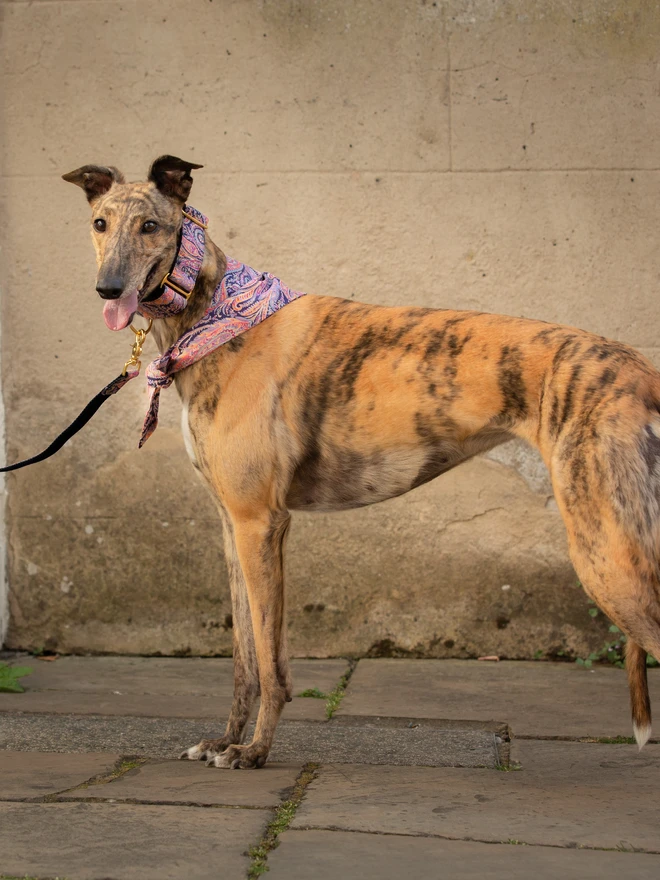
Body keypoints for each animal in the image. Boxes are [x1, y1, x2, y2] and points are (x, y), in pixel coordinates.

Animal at [63, 155, 660, 768]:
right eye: (100, 223)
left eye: (150, 226)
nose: (108, 288)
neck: (214, 316)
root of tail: (641, 369)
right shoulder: (233, 525)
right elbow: (246, 658)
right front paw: (225, 740)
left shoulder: (262, 523)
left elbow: (270, 660)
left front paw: (254, 751)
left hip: (606, 553)